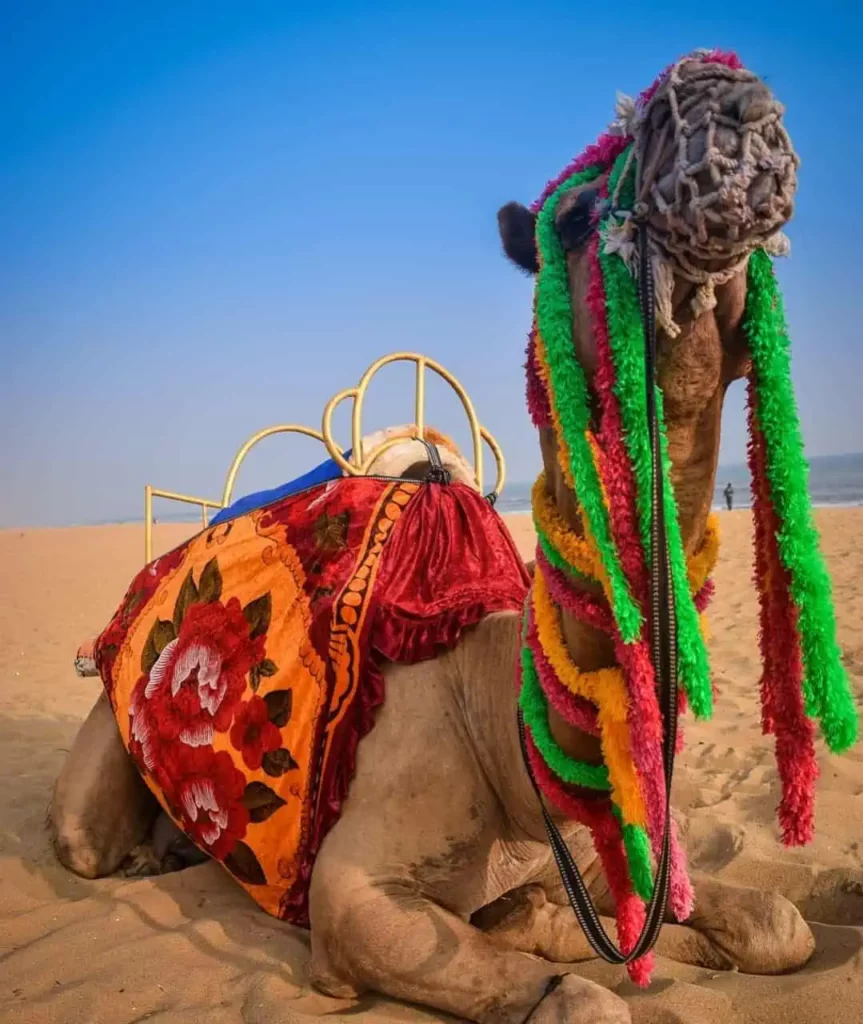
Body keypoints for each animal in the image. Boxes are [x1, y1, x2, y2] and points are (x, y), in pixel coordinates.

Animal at [51, 54, 833, 1024]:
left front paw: (561, 918)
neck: (503, 730)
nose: (726, 95)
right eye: (571, 215)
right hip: (98, 746)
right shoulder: (352, 886)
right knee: (84, 836)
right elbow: (579, 998)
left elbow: (777, 922)